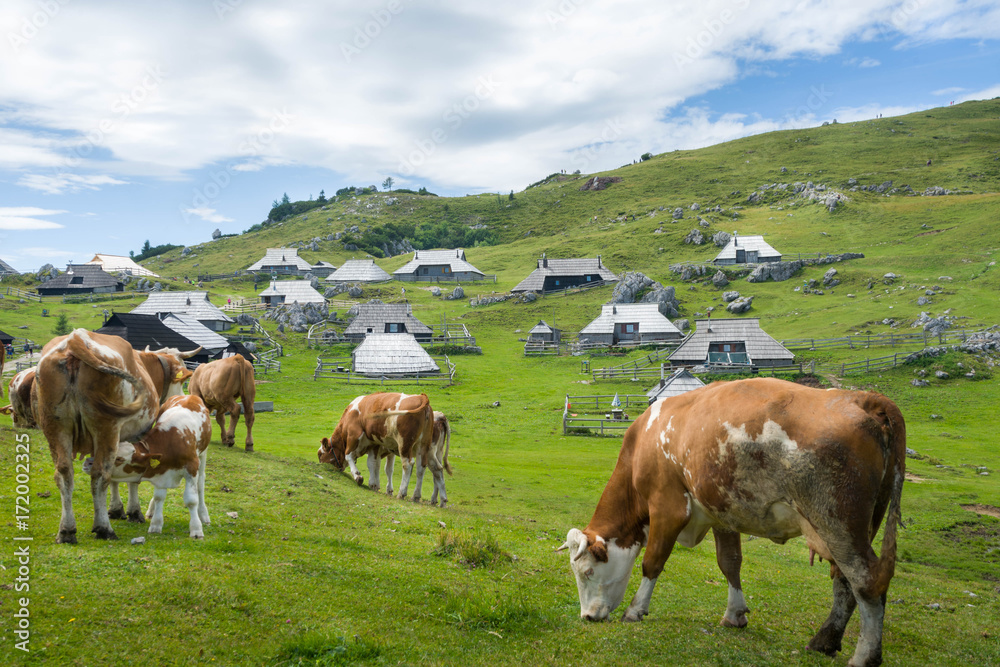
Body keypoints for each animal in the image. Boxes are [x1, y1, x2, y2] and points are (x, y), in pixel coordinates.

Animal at [33, 328, 163, 544]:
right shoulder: (134, 437)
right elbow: (131, 478)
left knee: (64, 473)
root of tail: (76, 338)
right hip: (106, 427)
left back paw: (67, 530)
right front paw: (132, 512)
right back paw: (104, 528)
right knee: (101, 473)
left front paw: (116, 509)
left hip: (55, 427)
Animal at [84, 394, 213, 540]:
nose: (88, 462)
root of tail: (188, 395)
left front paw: (196, 529)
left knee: (200, 484)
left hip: (203, 455)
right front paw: (156, 524)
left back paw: (204, 514)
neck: (173, 440)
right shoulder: (161, 470)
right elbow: (159, 497)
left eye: (119, 458)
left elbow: (191, 500)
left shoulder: (191, 467)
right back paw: (152, 510)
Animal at [560, 376, 912, 667]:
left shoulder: (667, 507)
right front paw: (734, 614)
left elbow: (653, 562)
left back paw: (864, 655)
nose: (587, 617)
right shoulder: (722, 513)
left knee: (866, 579)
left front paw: (635, 610)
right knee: (844, 581)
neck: (643, 445)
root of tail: (862, 397)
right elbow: (729, 563)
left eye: (587, 571)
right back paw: (825, 640)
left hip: (837, 521)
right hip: (857, 525)